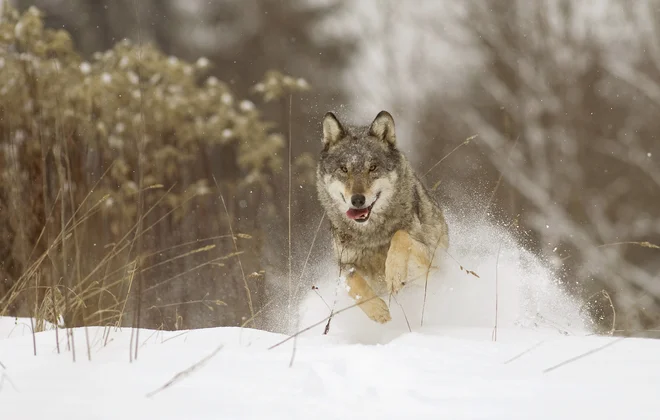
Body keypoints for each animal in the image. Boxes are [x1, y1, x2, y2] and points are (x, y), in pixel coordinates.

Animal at [314, 110, 448, 324]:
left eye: (373, 168)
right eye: (344, 169)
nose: (357, 200)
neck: (371, 237)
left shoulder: (429, 267)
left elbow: (400, 236)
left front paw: (394, 274)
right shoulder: (345, 265)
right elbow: (352, 280)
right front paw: (377, 310)